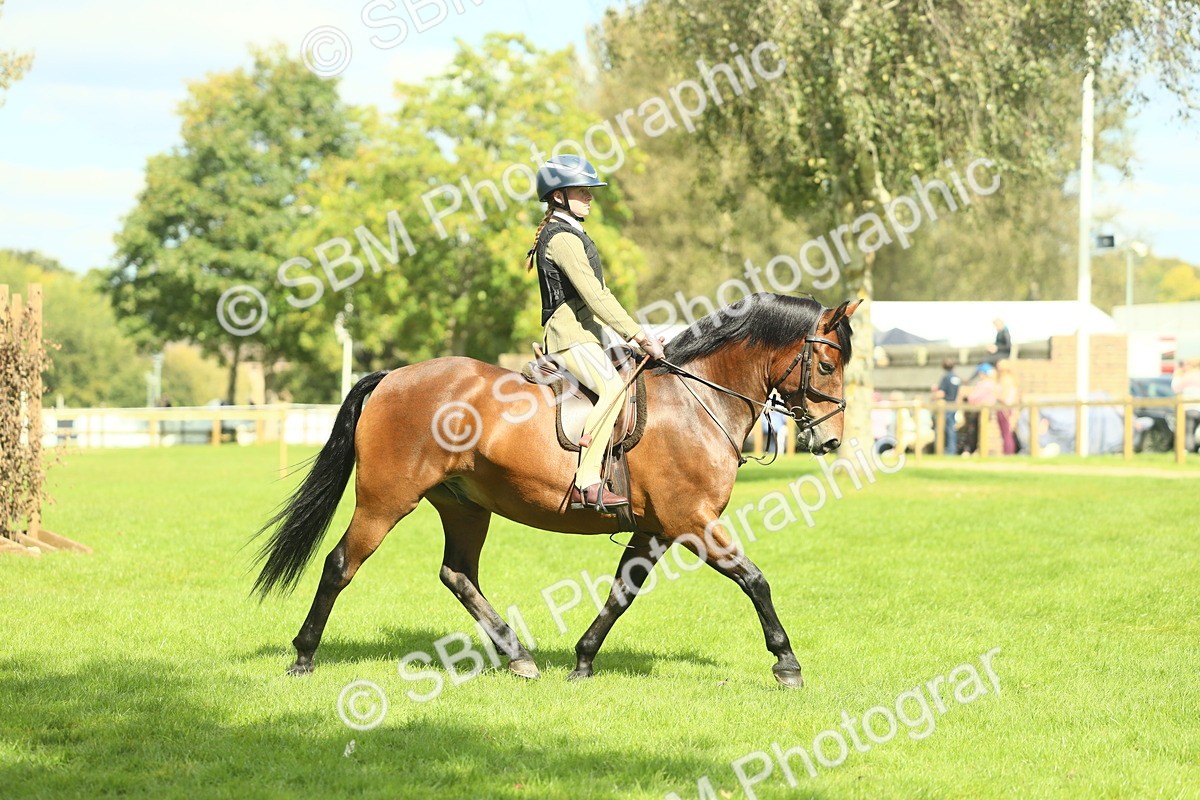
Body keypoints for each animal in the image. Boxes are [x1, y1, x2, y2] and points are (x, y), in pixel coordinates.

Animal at [251, 293, 860, 688]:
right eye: (827, 364)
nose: (830, 440)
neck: (696, 400)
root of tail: (393, 376)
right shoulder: (692, 521)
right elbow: (755, 580)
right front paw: (787, 663)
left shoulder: (656, 529)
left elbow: (621, 594)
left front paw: (583, 660)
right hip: (385, 501)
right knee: (340, 565)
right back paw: (303, 657)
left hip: (464, 505)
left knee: (458, 574)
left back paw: (519, 656)